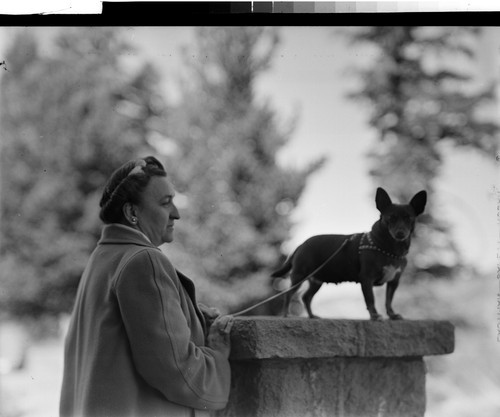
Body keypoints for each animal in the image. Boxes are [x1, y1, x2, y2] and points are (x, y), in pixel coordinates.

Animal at [274, 187, 426, 320]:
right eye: (390, 218)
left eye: (409, 218)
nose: (400, 233)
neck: (390, 249)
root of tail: (301, 245)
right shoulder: (367, 279)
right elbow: (370, 299)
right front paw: (375, 315)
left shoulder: (394, 281)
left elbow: (389, 300)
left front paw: (392, 315)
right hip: (299, 276)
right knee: (289, 294)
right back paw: (286, 314)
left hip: (317, 281)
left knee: (306, 297)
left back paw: (312, 316)